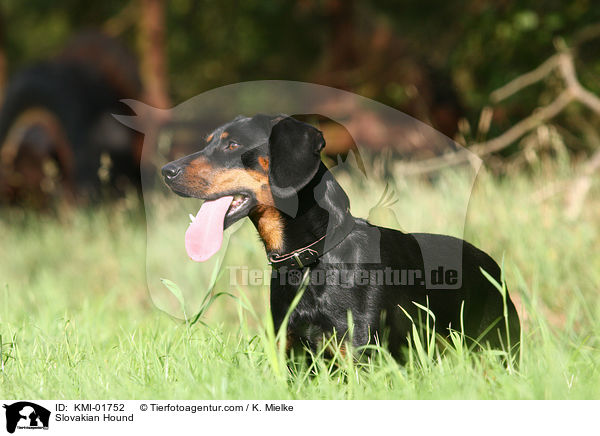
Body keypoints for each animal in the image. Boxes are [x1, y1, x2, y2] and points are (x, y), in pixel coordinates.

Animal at [163, 114, 520, 360]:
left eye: (232, 145)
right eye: (207, 142)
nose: (167, 172)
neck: (312, 258)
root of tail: (491, 264)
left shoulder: (361, 354)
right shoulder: (295, 357)